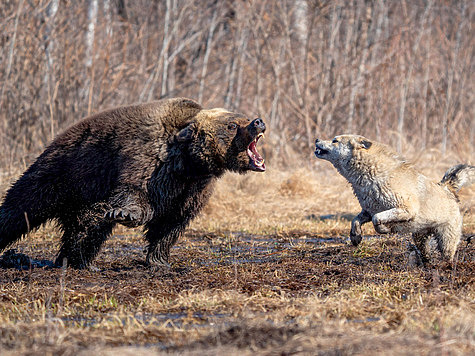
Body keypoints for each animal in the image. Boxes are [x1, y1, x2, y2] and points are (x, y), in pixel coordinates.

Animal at [0, 97, 268, 270]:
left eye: (243, 118)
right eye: (232, 125)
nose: (258, 122)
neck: (189, 162)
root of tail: (58, 138)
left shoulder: (194, 187)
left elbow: (172, 222)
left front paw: (160, 260)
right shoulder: (149, 158)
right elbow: (134, 192)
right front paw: (125, 214)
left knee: (87, 226)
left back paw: (76, 260)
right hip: (64, 171)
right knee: (21, 207)